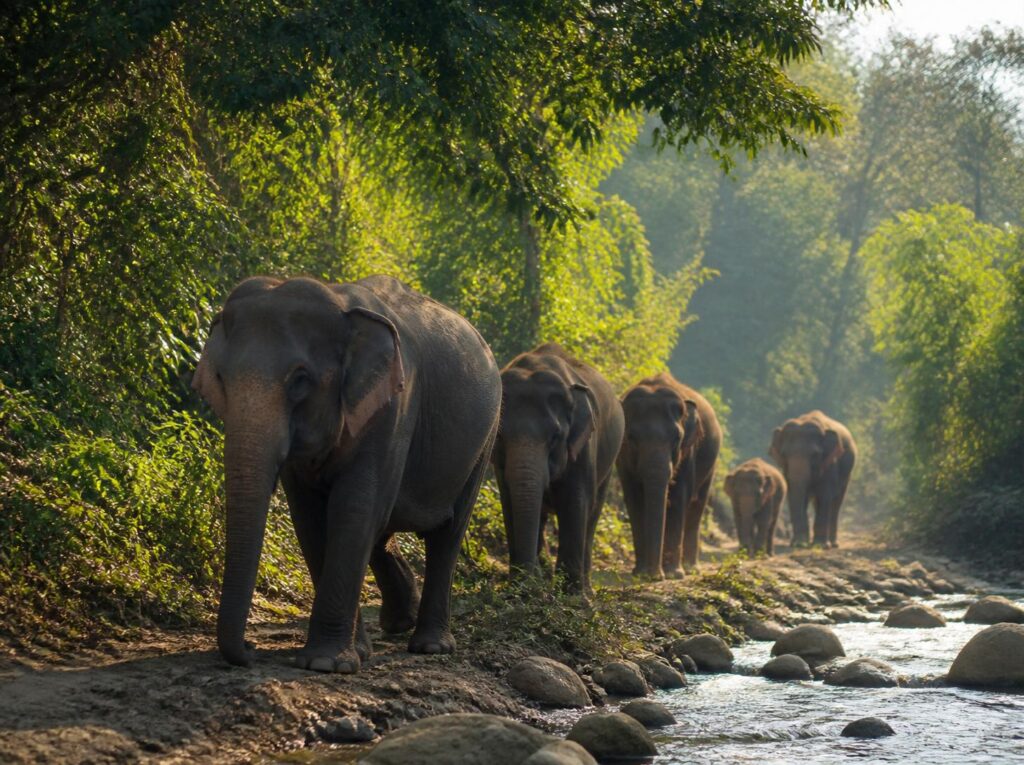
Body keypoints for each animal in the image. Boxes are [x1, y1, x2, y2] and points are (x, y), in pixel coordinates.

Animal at [192, 275, 501, 672]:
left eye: (300, 380)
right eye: (220, 378)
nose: (250, 648)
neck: (340, 304)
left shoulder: (394, 409)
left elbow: (354, 509)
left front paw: (325, 664)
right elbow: (311, 518)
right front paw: (354, 653)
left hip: (486, 438)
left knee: (447, 534)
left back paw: (431, 646)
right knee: (383, 530)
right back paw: (398, 622)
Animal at [491, 343, 624, 595]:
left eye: (555, 436)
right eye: (500, 436)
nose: (525, 587)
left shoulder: (583, 448)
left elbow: (575, 501)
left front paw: (573, 596)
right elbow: (509, 500)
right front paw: (520, 588)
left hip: (609, 465)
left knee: (592, 515)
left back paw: (586, 589)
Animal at [617, 373, 721, 578]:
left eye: (677, 438)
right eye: (631, 438)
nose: (654, 575)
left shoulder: (688, 453)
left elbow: (679, 498)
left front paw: (673, 574)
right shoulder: (623, 460)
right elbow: (634, 500)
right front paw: (641, 573)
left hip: (710, 466)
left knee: (697, 505)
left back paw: (690, 569)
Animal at [770, 410, 856, 548]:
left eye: (814, 455)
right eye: (784, 454)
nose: (799, 543)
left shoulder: (830, 463)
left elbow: (824, 495)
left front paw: (820, 545)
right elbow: (794, 494)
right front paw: (799, 543)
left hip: (847, 474)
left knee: (836, 502)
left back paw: (833, 544)